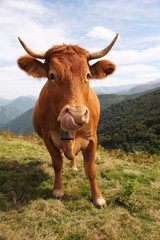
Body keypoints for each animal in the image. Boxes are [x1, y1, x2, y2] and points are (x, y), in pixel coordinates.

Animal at [17, 34, 118, 208]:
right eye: (52, 76)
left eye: (88, 75)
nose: (76, 115)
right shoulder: (47, 137)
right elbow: (57, 163)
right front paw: (58, 191)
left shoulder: (92, 139)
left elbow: (91, 170)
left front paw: (98, 198)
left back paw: (74, 166)